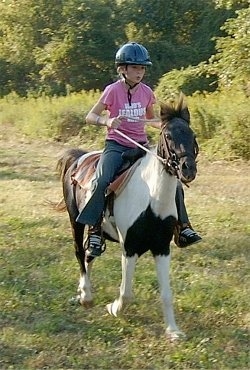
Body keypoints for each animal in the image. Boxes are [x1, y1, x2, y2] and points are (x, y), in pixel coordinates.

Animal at [56, 95, 199, 342]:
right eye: (168, 136)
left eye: (192, 135)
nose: (187, 169)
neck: (151, 198)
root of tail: (78, 157)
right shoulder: (129, 248)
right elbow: (127, 292)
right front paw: (113, 308)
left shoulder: (162, 248)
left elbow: (166, 293)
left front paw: (173, 330)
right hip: (75, 220)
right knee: (79, 253)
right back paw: (86, 296)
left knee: (89, 253)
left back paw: (83, 291)